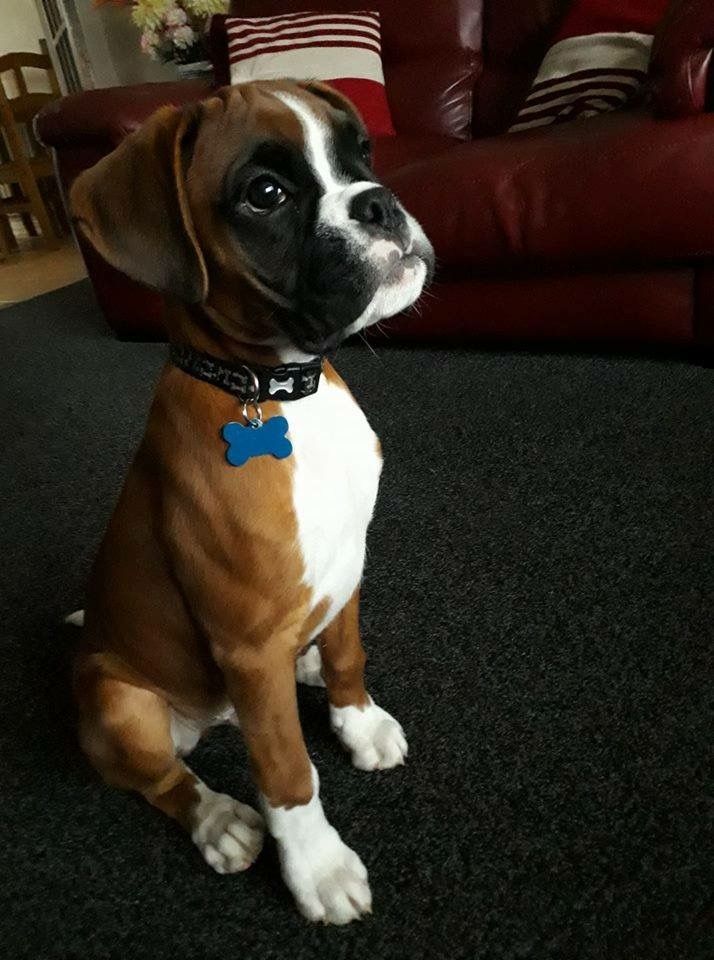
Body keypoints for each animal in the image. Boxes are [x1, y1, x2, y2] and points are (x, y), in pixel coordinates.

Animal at [69, 80, 432, 924]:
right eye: (265, 195)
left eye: (361, 154)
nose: (380, 202)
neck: (277, 393)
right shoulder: (246, 646)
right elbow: (288, 773)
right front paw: (318, 868)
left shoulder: (349, 564)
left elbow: (349, 652)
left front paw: (357, 721)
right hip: (118, 702)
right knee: (164, 779)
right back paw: (221, 822)